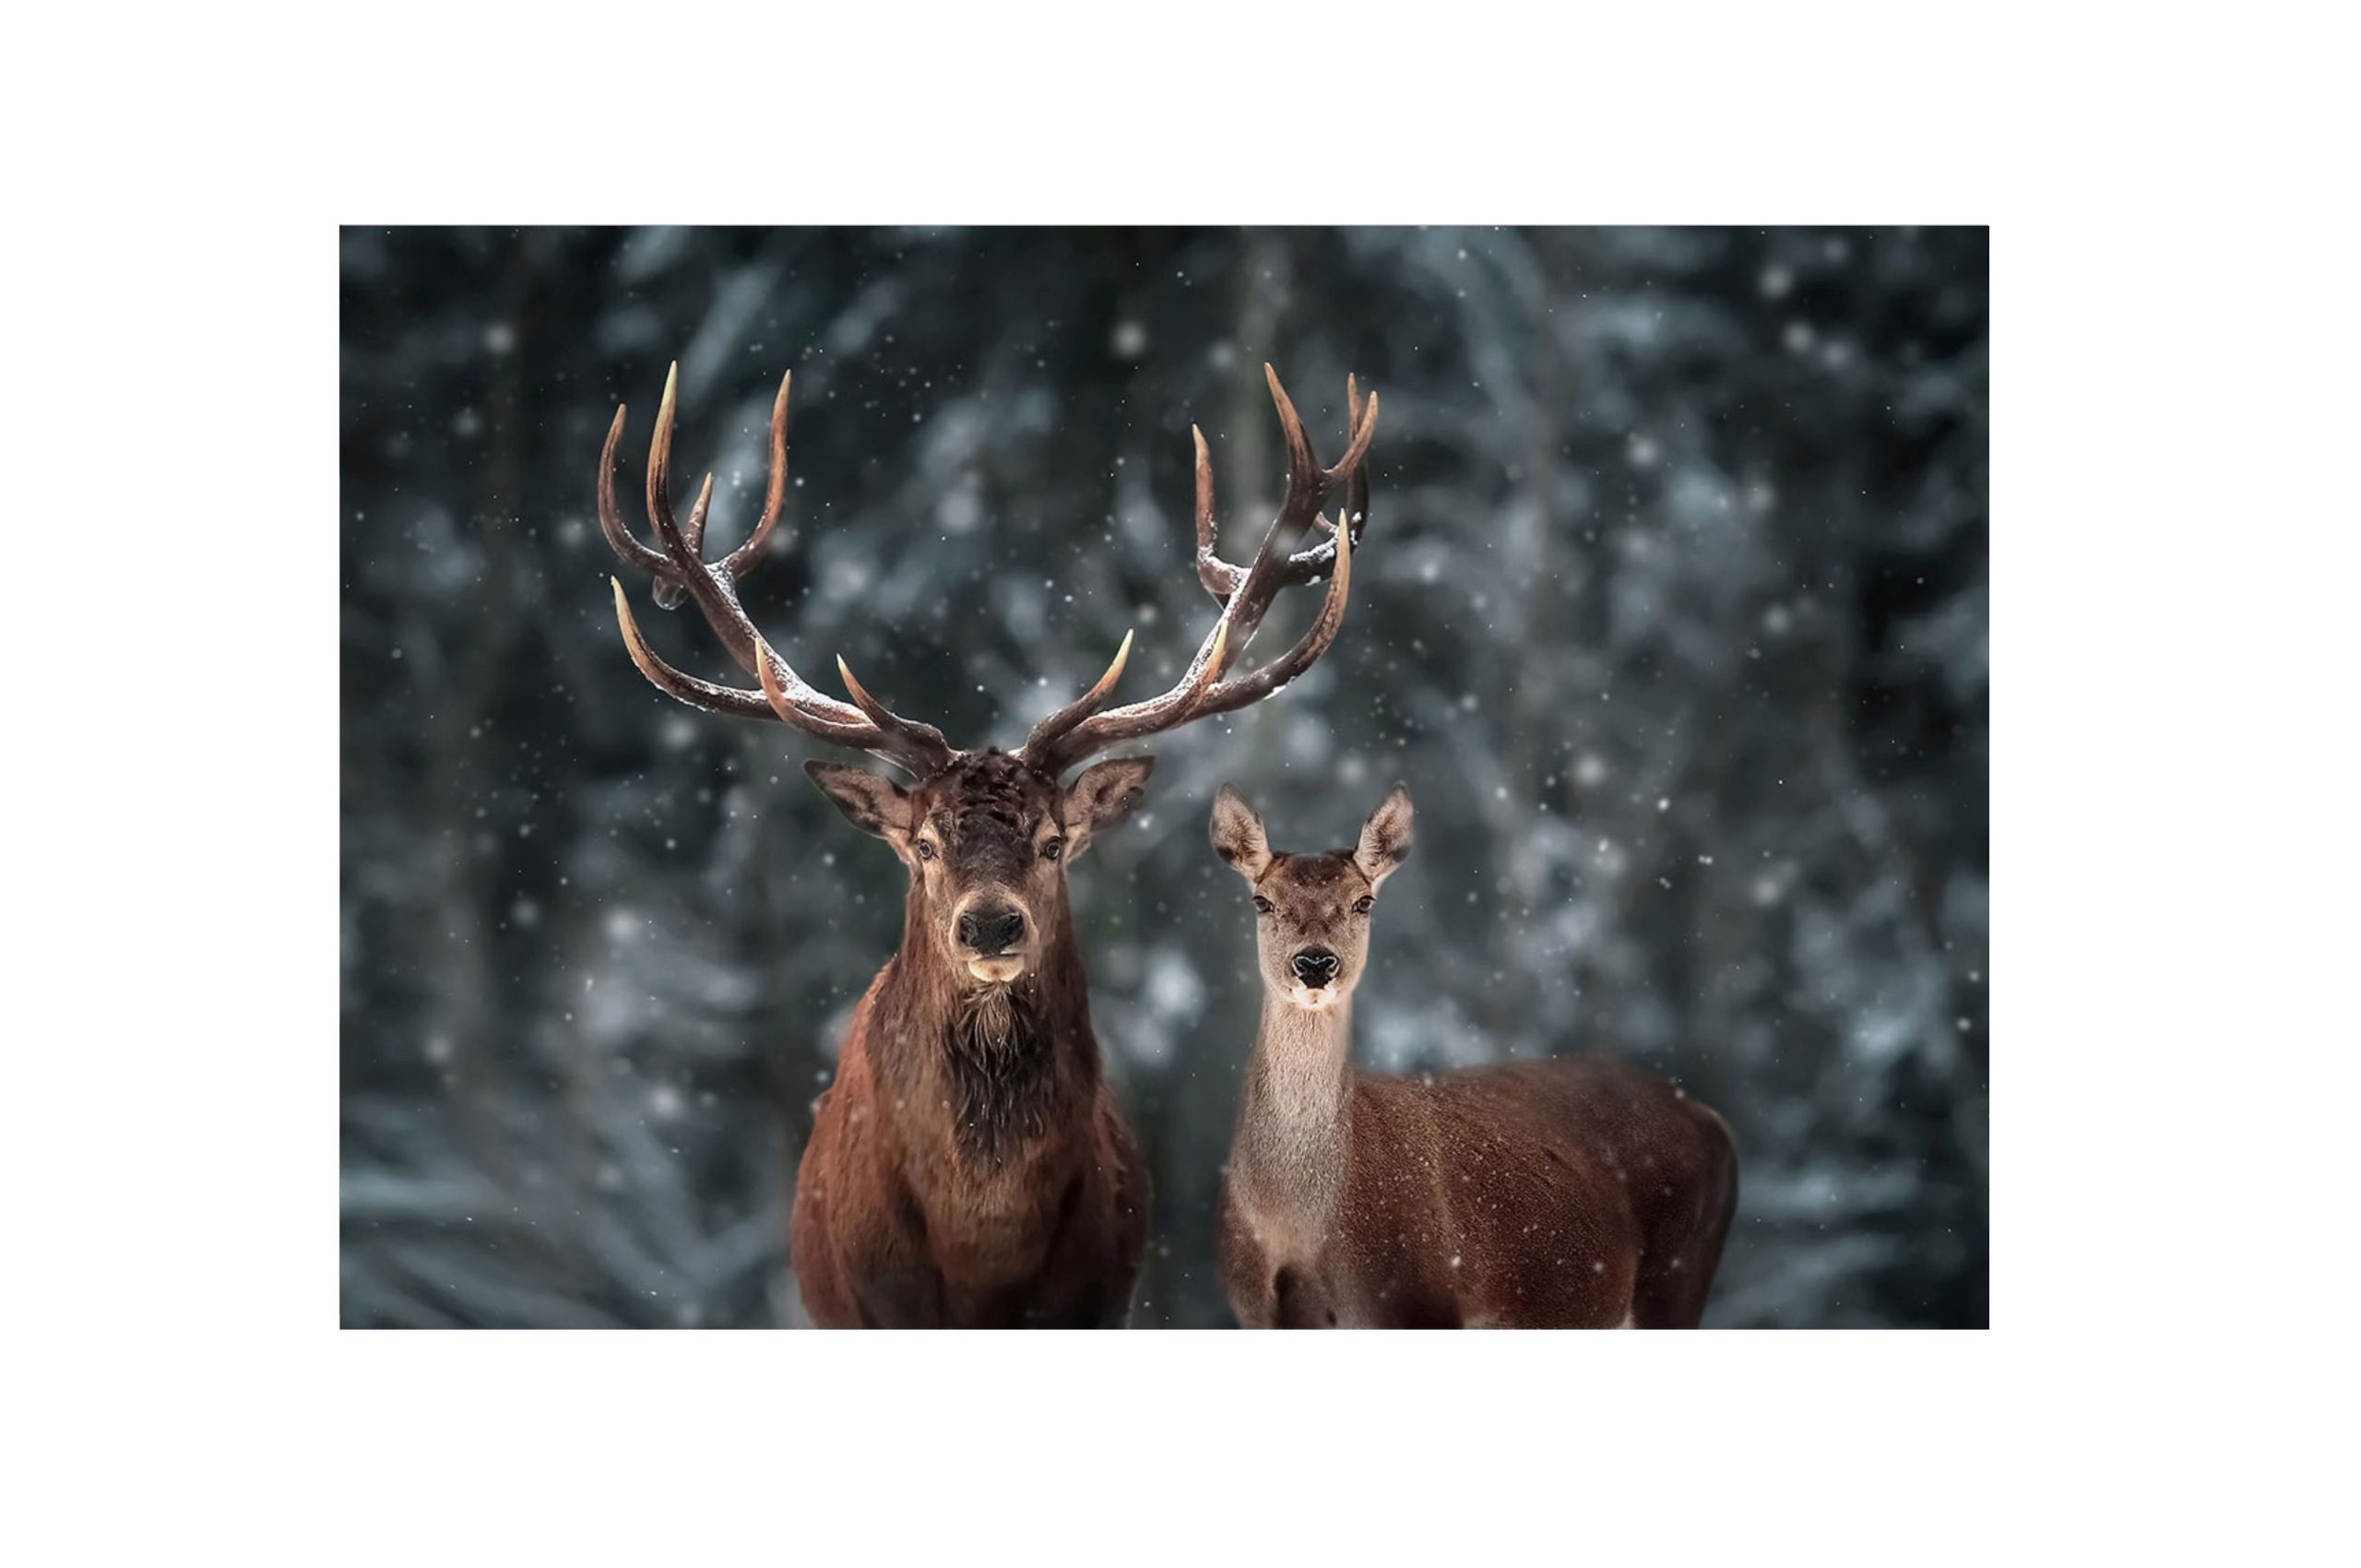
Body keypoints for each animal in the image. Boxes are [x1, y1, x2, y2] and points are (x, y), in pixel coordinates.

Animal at [1208, 784, 1739, 1328]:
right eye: (1262, 900)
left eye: (1363, 901)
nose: (1315, 962)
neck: (1299, 1227)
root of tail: (1715, 1120)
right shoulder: (1254, 1311)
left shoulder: (1419, 1300)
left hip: (1678, 1276)